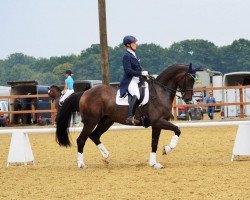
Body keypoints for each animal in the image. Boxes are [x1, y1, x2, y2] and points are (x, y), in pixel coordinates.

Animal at [55, 63, 200, 169]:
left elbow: (154, 142)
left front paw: (154, 163)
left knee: (94, 136)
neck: (160, 92)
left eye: (194, 80)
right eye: (189, 79)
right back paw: (81, 164)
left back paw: (106, 156)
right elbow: (177, 130)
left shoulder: (157, 124)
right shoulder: (158, 121)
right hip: (91, 121)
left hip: (106, 121)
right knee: (81, 139)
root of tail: (84, 93)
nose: (188, 99)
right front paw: (167, 149)